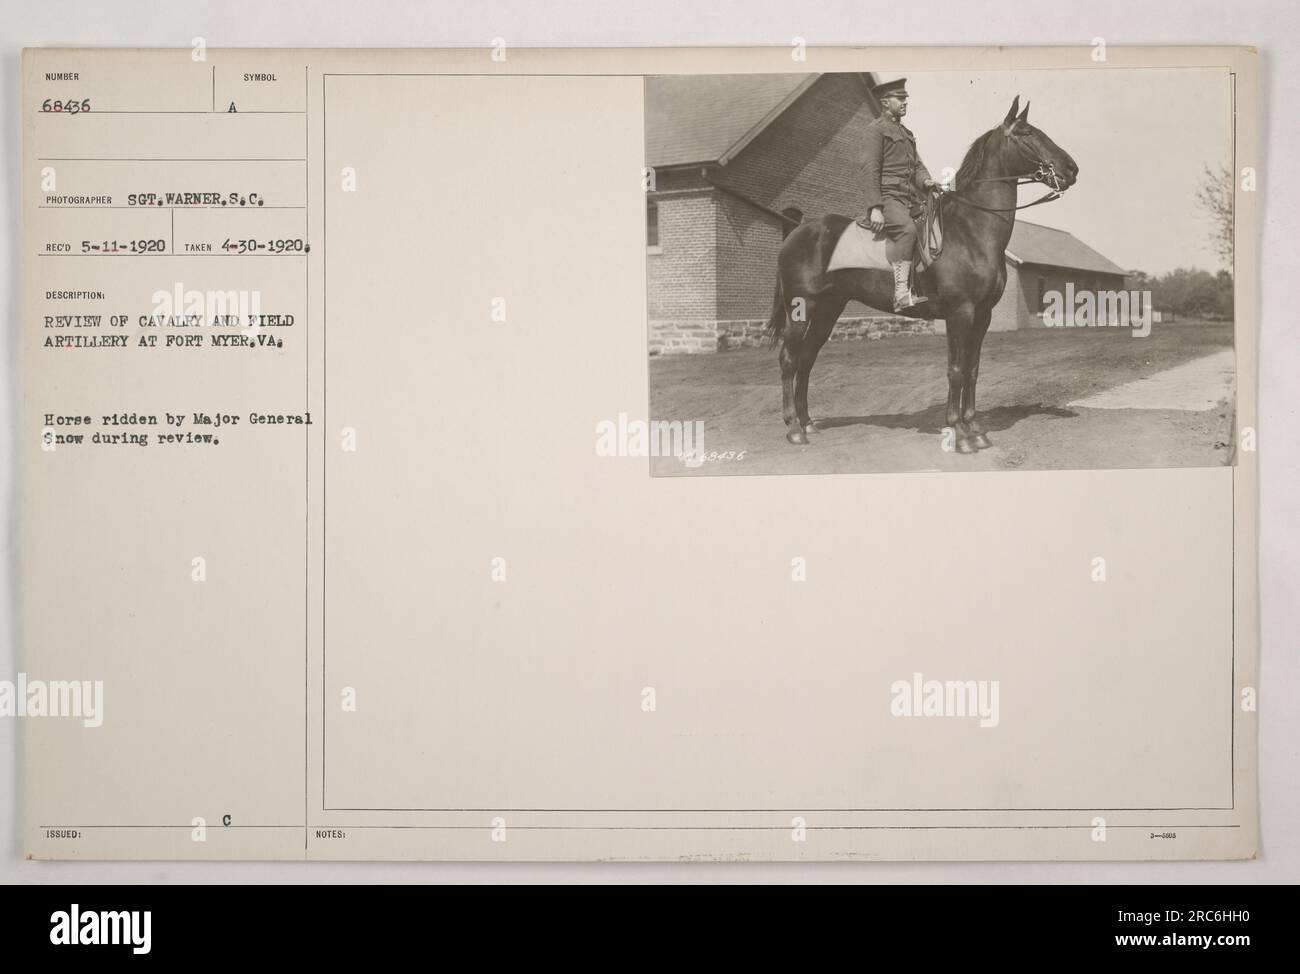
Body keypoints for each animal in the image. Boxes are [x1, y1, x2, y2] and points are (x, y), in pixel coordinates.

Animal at [764, 96, 1081, 447]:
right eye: (1027, 134)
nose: (1071, 169)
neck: (971, 231)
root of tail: (797, 231)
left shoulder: (982, 315)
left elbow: (972, 369)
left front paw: (974, 428)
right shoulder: (960, 312)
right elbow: (956, 370)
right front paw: (959, 433)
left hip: (828, 309)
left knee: (806, 359)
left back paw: (808, 423)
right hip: (801, 308)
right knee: (789, 359)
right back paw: (794, 427)